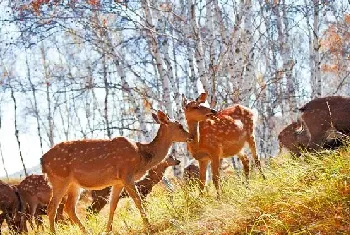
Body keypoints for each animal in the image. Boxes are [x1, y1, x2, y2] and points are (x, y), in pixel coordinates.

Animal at [41, 110, 194, 233]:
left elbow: (112, 205)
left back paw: (87, 231)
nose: (191, 136)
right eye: (180, 126)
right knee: (52, 207)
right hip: (60, 179)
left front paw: (108, 230)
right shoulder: (127, 174)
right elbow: (138, 201)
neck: (142, 156)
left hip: (74, 184)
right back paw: (55, 232)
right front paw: (149, 227)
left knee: (69, 208)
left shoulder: (118, 181)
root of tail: (42, 160)